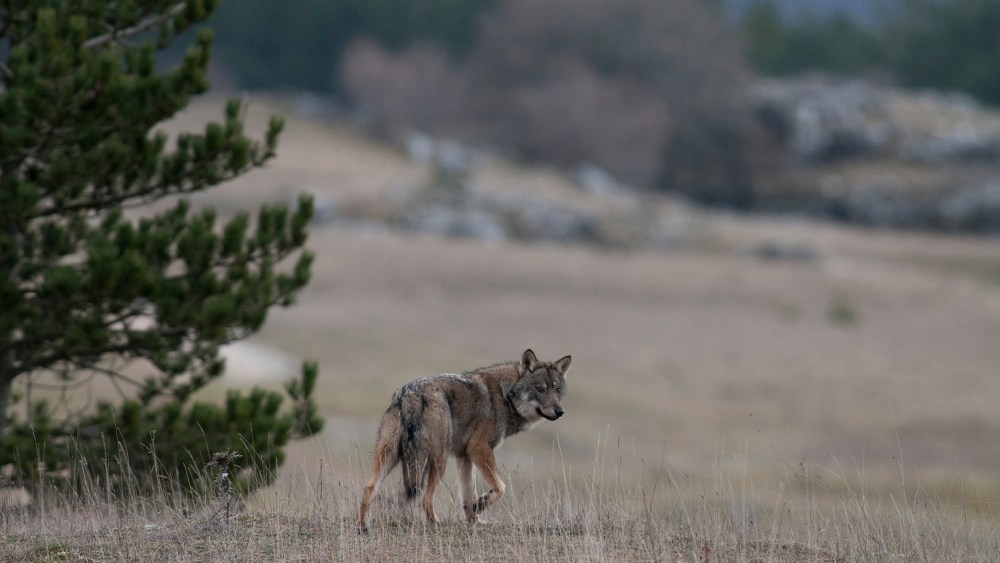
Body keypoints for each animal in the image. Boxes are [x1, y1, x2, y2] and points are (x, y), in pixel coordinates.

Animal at [356, 349, 571, 532]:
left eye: (557, 389)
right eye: (540, 389)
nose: (560, 411)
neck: (505, 396)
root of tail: (409, 394)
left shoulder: (464, 456)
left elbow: (468, 496)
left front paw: (475, 520)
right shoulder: (479, 449)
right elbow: (500, 487)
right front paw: (480, 506)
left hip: (391, 457)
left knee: (369, 488)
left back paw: (363, 526)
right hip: (438, 461)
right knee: (425, 498)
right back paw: (436, 523)